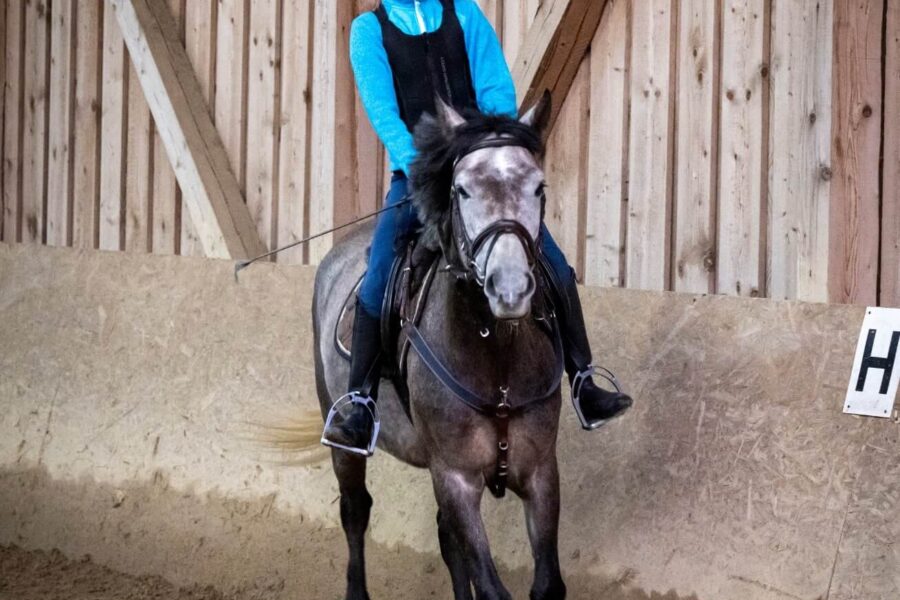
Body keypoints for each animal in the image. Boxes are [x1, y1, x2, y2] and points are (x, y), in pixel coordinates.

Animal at [311, 94, 567, 600]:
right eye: (462, 190)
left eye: (538, 187)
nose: (510, 289)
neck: (496, 358)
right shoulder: (456, 478)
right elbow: (490, 587)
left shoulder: (540, 472)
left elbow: (545, 584)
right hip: (344, 439)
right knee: (355, 510)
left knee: (446, 540)